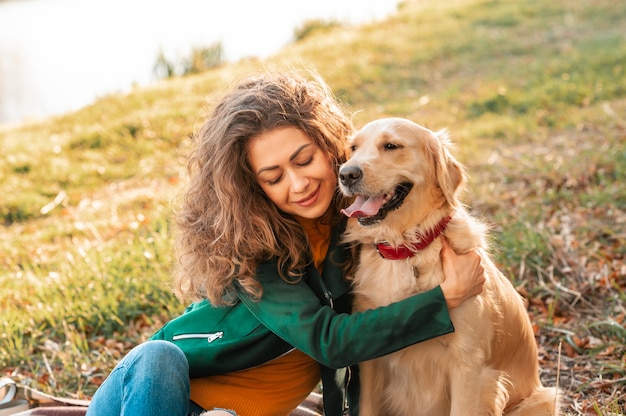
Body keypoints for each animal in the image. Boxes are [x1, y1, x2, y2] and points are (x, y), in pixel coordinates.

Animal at [338, 118, 560, 416]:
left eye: (391, 146)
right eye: (353, 148)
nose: (346, 174)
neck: (407, 249)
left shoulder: (468, 364)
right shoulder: (371, 360)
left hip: (541, 399)